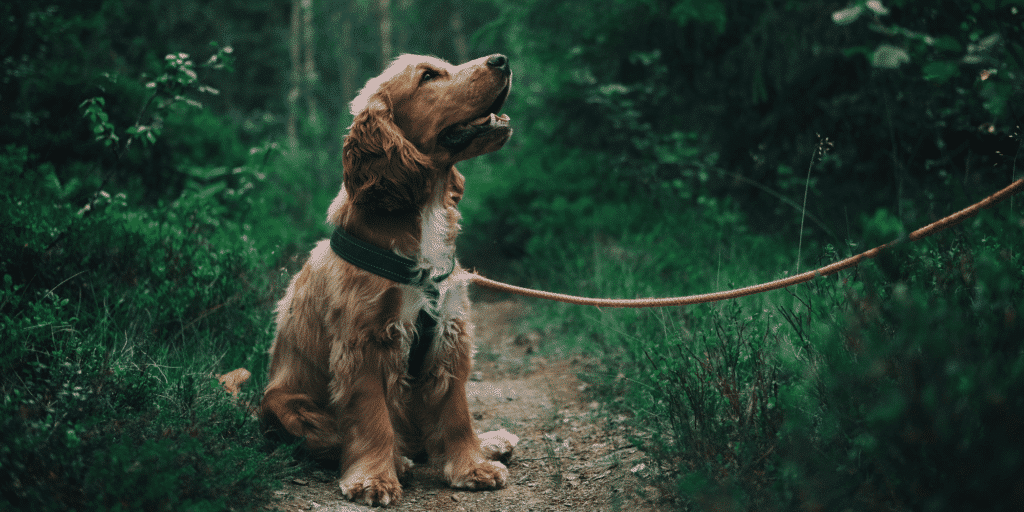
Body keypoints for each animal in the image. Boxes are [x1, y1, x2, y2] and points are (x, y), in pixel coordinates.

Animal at [256, 54, 512, 505]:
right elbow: (371, 418)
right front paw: (374, 478)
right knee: (334, 438)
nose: (502, 59)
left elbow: (456, 413)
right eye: (428, 76)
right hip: (285, 405)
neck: (423, 215)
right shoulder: (364, 343)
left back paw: (490, 442)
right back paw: (399, 461)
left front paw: (472, 466)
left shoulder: (449, 333)